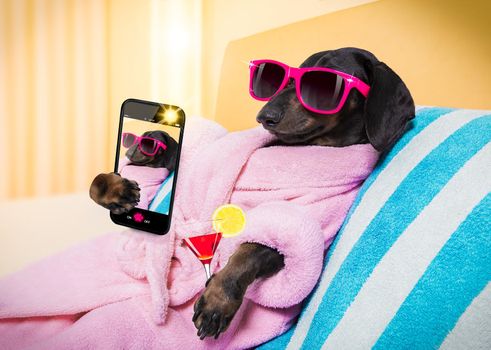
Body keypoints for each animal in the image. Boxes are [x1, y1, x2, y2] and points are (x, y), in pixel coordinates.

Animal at [89, 47, 416, 340]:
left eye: (324, 84)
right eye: (284, 80)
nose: (264, 115)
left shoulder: (299, 230)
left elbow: (251, 250)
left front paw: (217, 300)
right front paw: (114, 185)